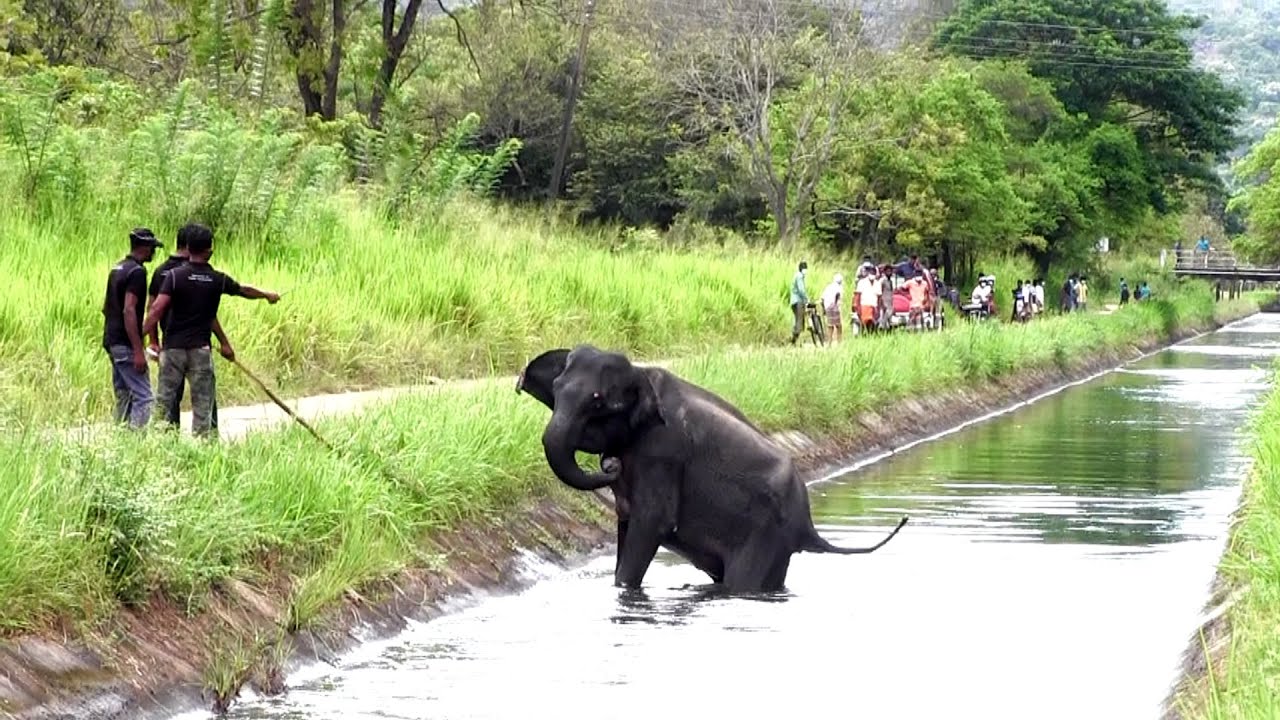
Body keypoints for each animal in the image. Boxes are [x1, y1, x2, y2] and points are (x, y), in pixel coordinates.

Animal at [514, 344, 908, 593]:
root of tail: (809, 528)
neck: (642, 374)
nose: (610, 464)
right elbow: (627, 525)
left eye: (597, 402)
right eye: (555, 390)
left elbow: (653, 523)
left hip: (766, 537)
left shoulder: (663, 453)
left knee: (743, 584)